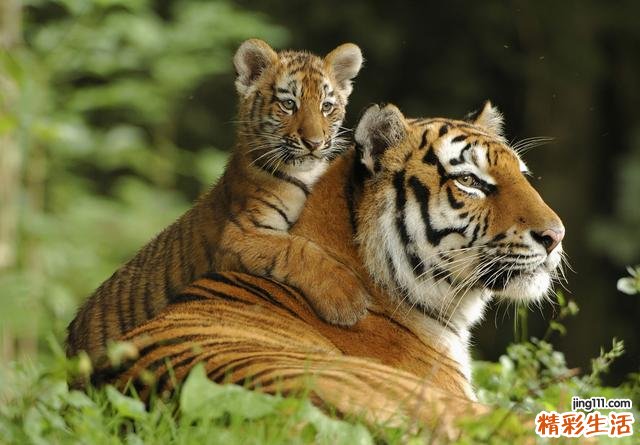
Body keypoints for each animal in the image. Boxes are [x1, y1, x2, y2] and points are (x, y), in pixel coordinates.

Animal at [66, 39, 367, 363]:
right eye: (289, 104)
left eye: (327, 107)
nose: (314, 143)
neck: (306, 172)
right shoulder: (238, 233)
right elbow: (295, 249)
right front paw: (348, 299)